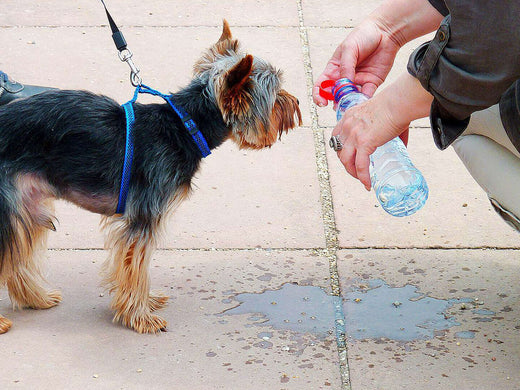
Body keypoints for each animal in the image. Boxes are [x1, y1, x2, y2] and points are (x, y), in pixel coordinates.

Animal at [0, 19, 302, 334]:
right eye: (276, 96)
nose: (297, 103)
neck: (186, 125)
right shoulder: (143, 217)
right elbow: (136, 266)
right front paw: (140, 316)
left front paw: (146, 303)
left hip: (28, 203)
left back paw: (37, 298)